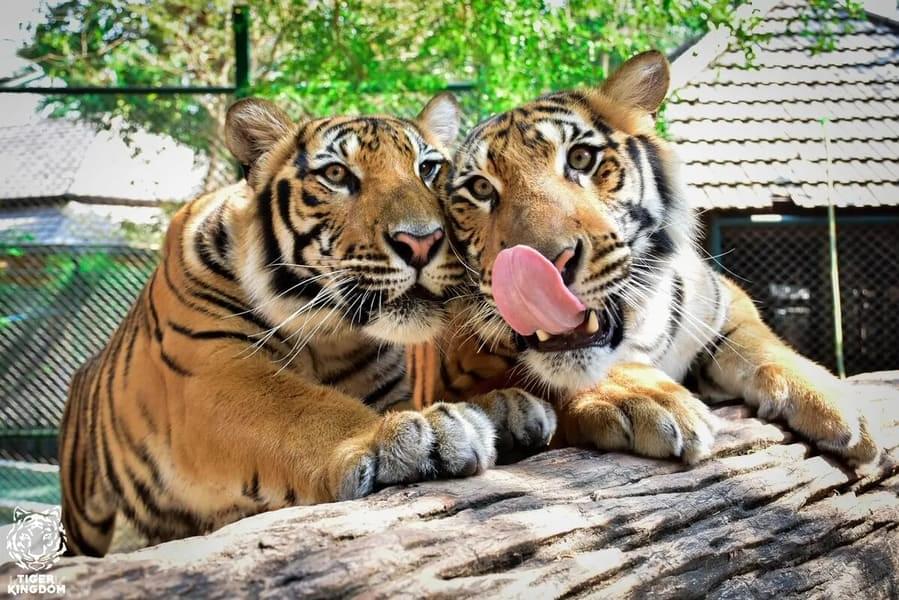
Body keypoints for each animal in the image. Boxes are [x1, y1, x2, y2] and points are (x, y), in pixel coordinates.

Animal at [59, 94, 555, 557]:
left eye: (429, 169)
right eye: (336, 174)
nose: (422, 241)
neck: (332, 337)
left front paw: (506, 408)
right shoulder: (211, 374)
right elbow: (305, 409)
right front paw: (420, 434)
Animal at [436, 50, 884, 467]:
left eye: (580, 158)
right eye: (480, 188)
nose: (542, 269)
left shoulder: (724, 303)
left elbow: (761, 344)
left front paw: (838, 403)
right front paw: (650, 397)